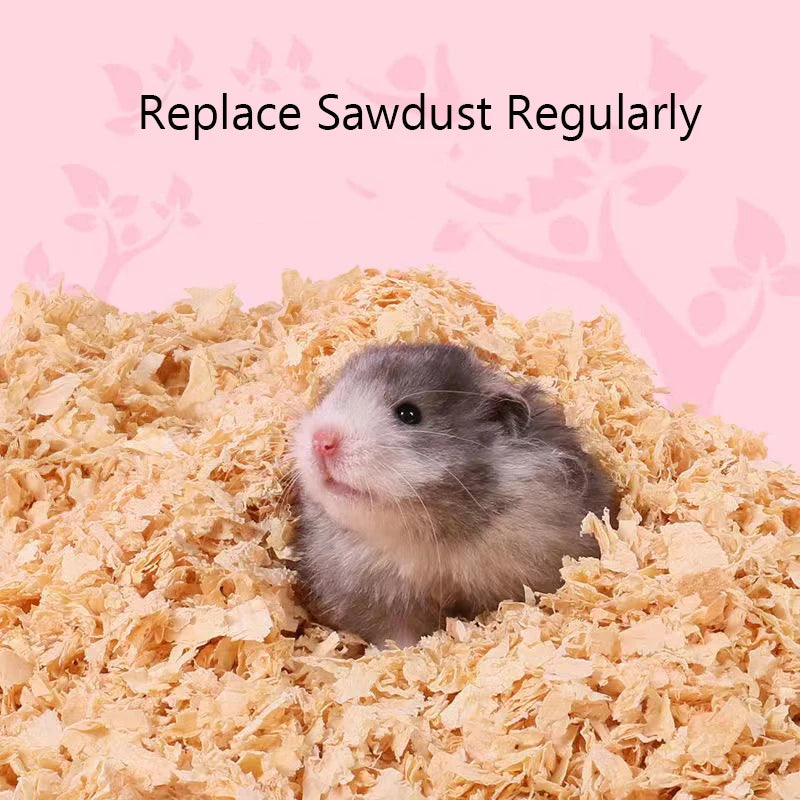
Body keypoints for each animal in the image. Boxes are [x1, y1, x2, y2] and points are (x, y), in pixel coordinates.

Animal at [291, 343, 614, 647]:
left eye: (409, 414)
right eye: (329, 396)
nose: (321, 441)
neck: (425, 529)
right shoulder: (378, 599)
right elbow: (397, 637)